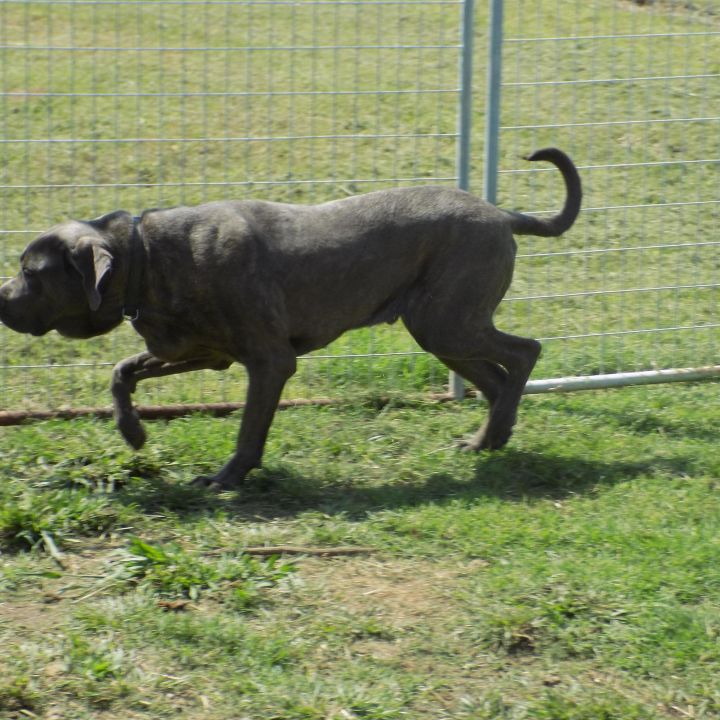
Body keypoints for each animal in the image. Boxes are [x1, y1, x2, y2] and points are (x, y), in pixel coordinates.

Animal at [0, 150, 580, 490]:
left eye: (30, 271)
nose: (1, 299)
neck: (147, 258)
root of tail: (502, 214)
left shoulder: (270, 362)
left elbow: (249, 428)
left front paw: (227, 478)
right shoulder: (200, 352)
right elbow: (121, 371)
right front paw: (133, 433)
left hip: (448, 322)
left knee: (525, 353)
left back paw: (496, 429)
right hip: (441, 331)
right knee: (497, 380)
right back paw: (488, 439)